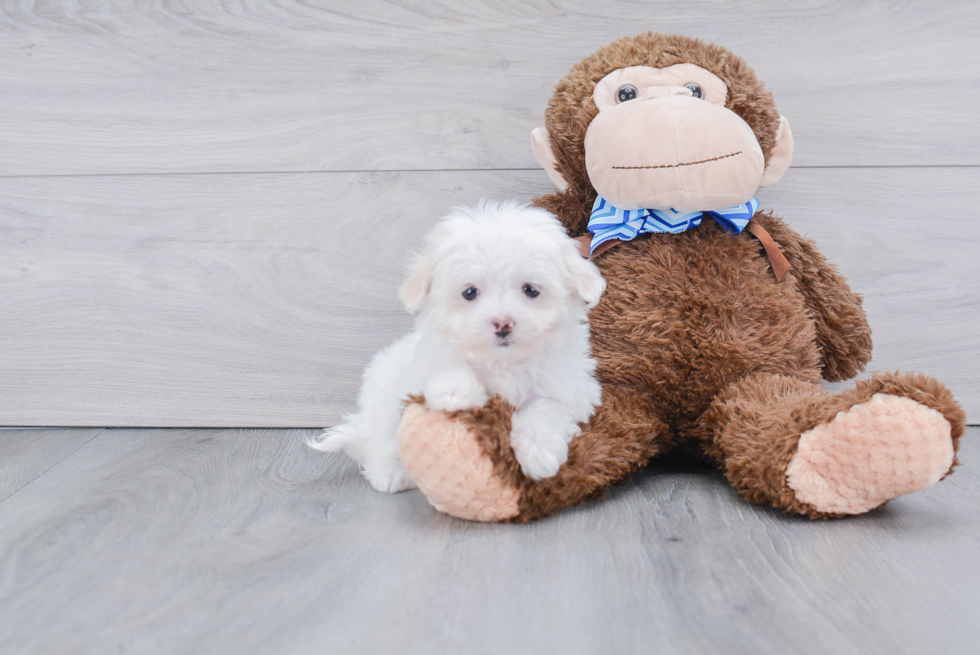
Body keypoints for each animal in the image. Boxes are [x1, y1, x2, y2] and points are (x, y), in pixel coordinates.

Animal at [310, 200, 608, 492]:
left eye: (531, 290)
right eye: (469, 292)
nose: (503, 323)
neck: (503, 361)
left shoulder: (569, 388)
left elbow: (545, 409)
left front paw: (538, 454)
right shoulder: (429, 363)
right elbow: (448, 372)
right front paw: (454, 392)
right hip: (383, 398)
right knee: (380, 441)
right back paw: (390, 473)